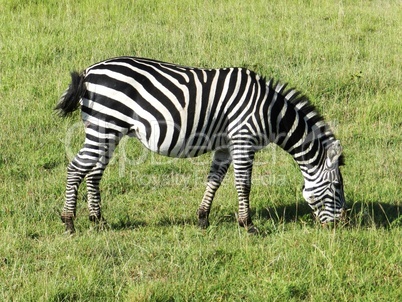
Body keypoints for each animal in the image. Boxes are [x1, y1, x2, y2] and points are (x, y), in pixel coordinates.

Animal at [55, 56, 346, 234]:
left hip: (108, 132)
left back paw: (98, 220)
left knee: (93, 173)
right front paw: (248, 225)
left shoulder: (226, 145)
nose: (342, 226)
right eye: (337, 187)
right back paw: (69, 222)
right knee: (75, 169)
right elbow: (244, 184)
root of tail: (89, 72)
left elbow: (214, 180)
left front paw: (203, 218)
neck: (270, 112)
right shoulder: (243, 138)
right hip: (104, 126)